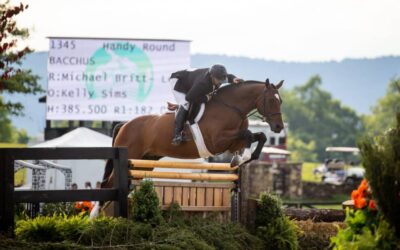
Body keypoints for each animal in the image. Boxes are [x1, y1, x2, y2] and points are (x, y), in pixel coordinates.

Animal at [102, 78, 284, 188]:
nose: (278, 127)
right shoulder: (217, 142)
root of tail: (124, 125)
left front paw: (244, 158)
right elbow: (248, 134)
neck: (231, 108)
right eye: (271, 100)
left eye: (280, 101)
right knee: (109, 184)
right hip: (132, 155)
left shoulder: (232, 143)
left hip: (144, 161)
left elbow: (259, 136)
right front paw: (241, 158)